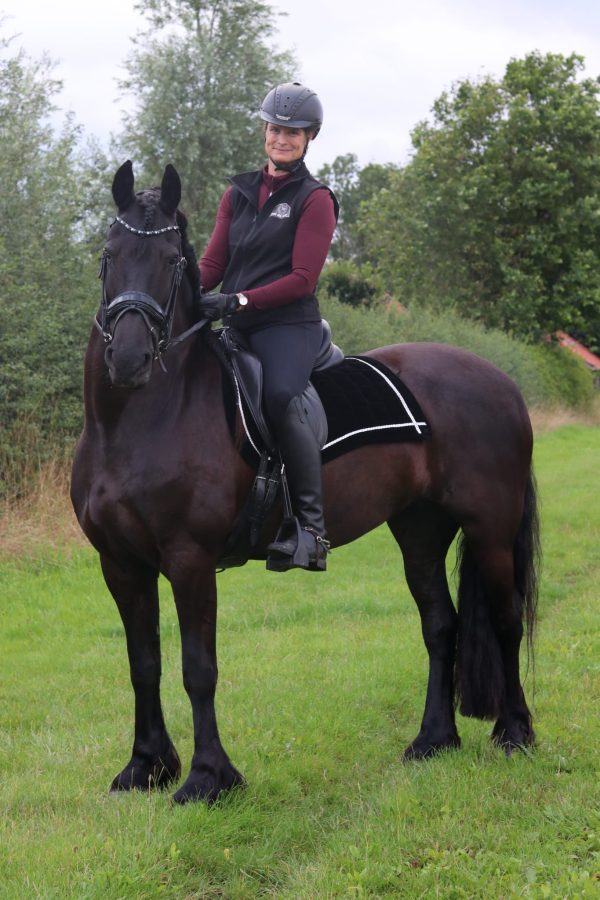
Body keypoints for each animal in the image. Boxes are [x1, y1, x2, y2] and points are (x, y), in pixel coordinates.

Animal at [70, 161, 540, 805]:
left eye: (171, 260)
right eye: (109, 254)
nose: (130, 359)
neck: (136, 422)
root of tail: (501, 382)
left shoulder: (189, 558)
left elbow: (198, 667)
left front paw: (208, 779)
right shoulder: (120, 563)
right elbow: (144, 663)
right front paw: (145, 767)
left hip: (491, 526)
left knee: (506, 617)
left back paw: (515, 733)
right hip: (420, 529)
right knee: (439, 624)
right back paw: (433, 740)